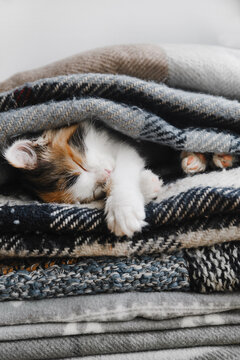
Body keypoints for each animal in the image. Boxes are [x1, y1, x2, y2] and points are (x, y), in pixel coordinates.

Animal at [3, 121, 161, 239]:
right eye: (95, 191)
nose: (107, 173)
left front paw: (123, 209)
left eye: (80, 166)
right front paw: (148, 184)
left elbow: (124, 166)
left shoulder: (124, 143)